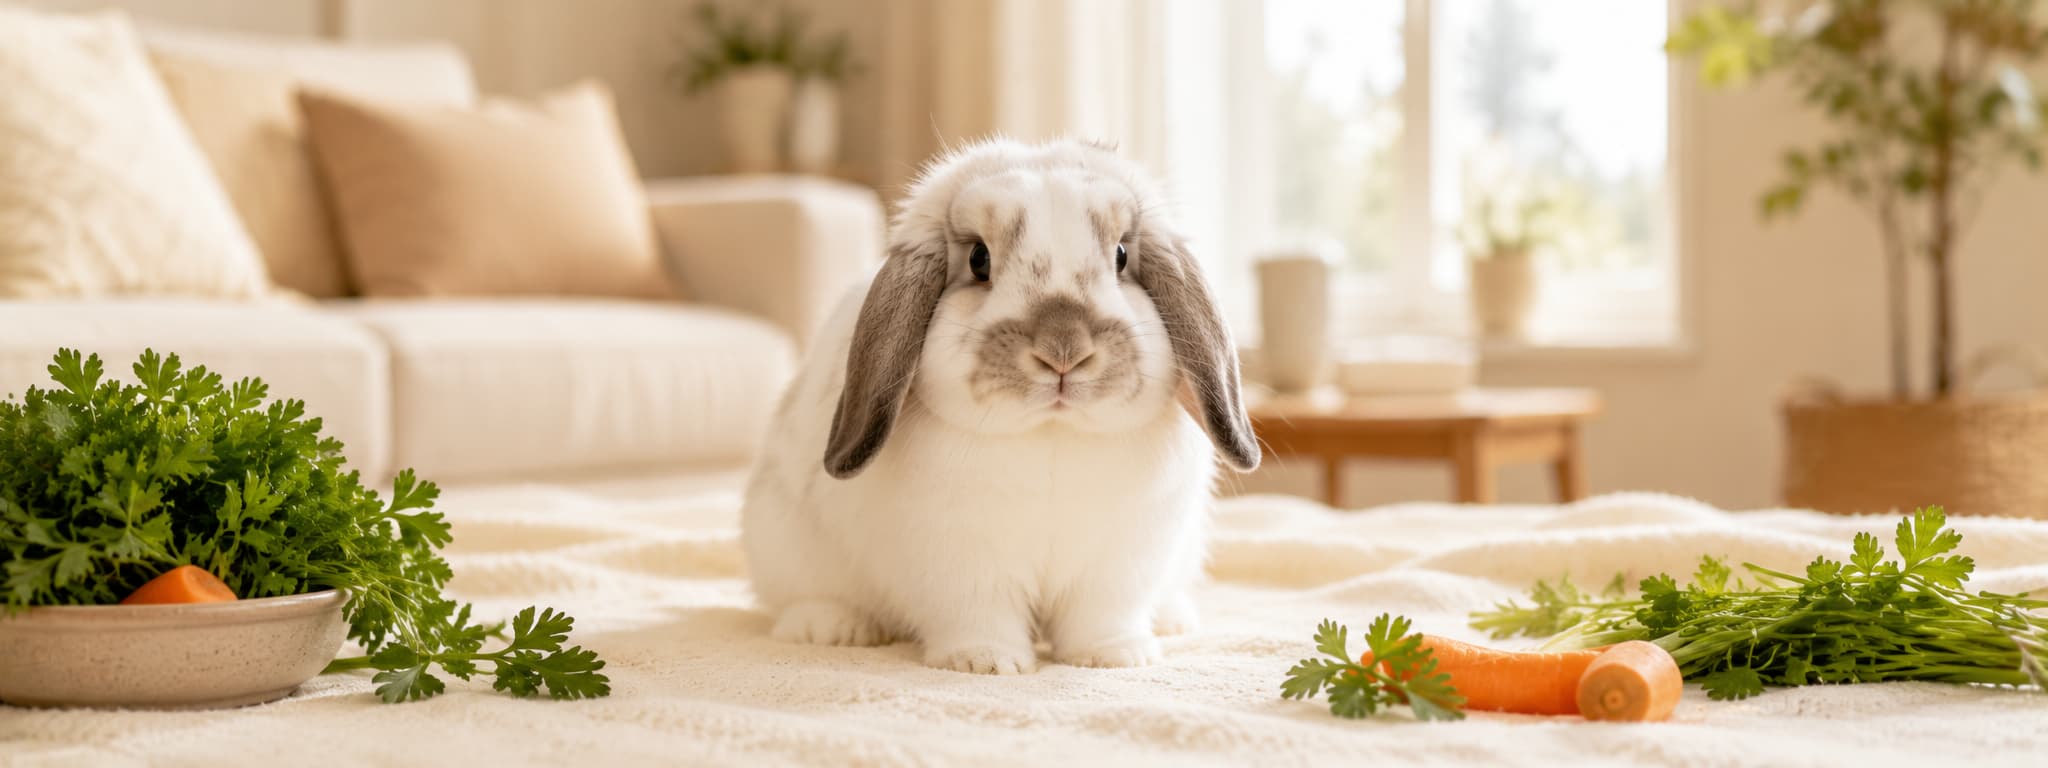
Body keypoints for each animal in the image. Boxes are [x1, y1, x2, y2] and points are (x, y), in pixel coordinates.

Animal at [740, 137, 1260, 674]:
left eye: (1120, 256)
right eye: (978, 259)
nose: (1063, 350)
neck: (1051, 434)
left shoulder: (1117, 566)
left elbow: (1101, 616)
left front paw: (1114, 656)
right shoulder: (961, 567)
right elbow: (978, 615)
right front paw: (985, 663)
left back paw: (1173, 620)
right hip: (782, 542)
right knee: (803, 596)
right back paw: (832, 627)